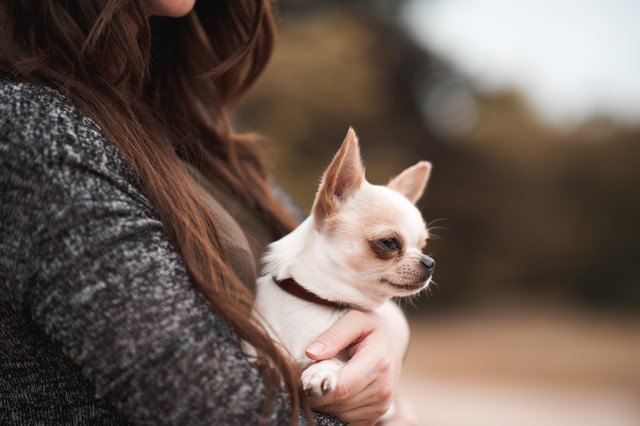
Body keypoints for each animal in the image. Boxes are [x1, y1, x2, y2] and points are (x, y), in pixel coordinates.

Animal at [252, 128, 432, 398]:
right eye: (389, 242)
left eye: (423, 246)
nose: (430, 262)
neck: (320, 301)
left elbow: (335, 360)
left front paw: (320, 371)